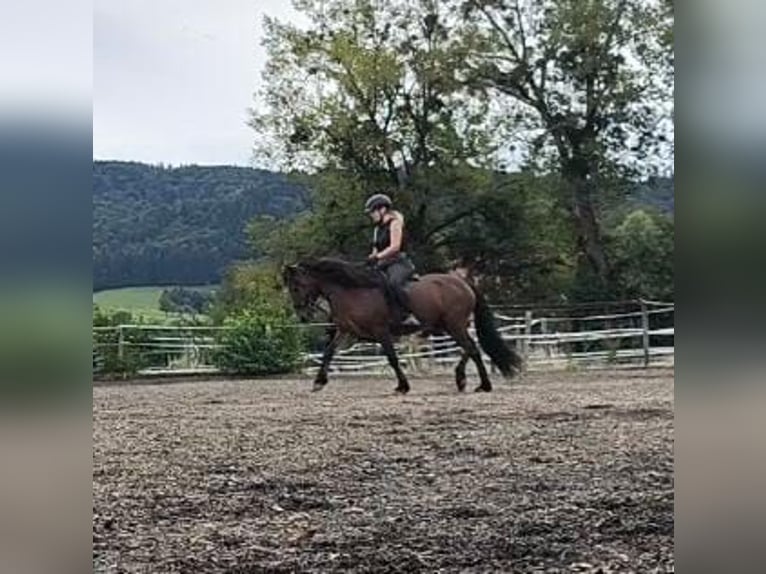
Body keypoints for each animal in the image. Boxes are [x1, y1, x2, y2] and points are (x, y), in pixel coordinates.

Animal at [282, 258, 520, 396]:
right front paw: (318, 382)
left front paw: (403, 386)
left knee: (471, 348)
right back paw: (466, 380)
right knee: (470, 348)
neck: (352, 291)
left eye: (296, 286)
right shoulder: (346, 331)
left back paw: (480, 384)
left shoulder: (381, 331)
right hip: (447, 326)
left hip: (455, 325)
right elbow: (329, 353)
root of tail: (463, 283)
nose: (303, 315)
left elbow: (392, 358)